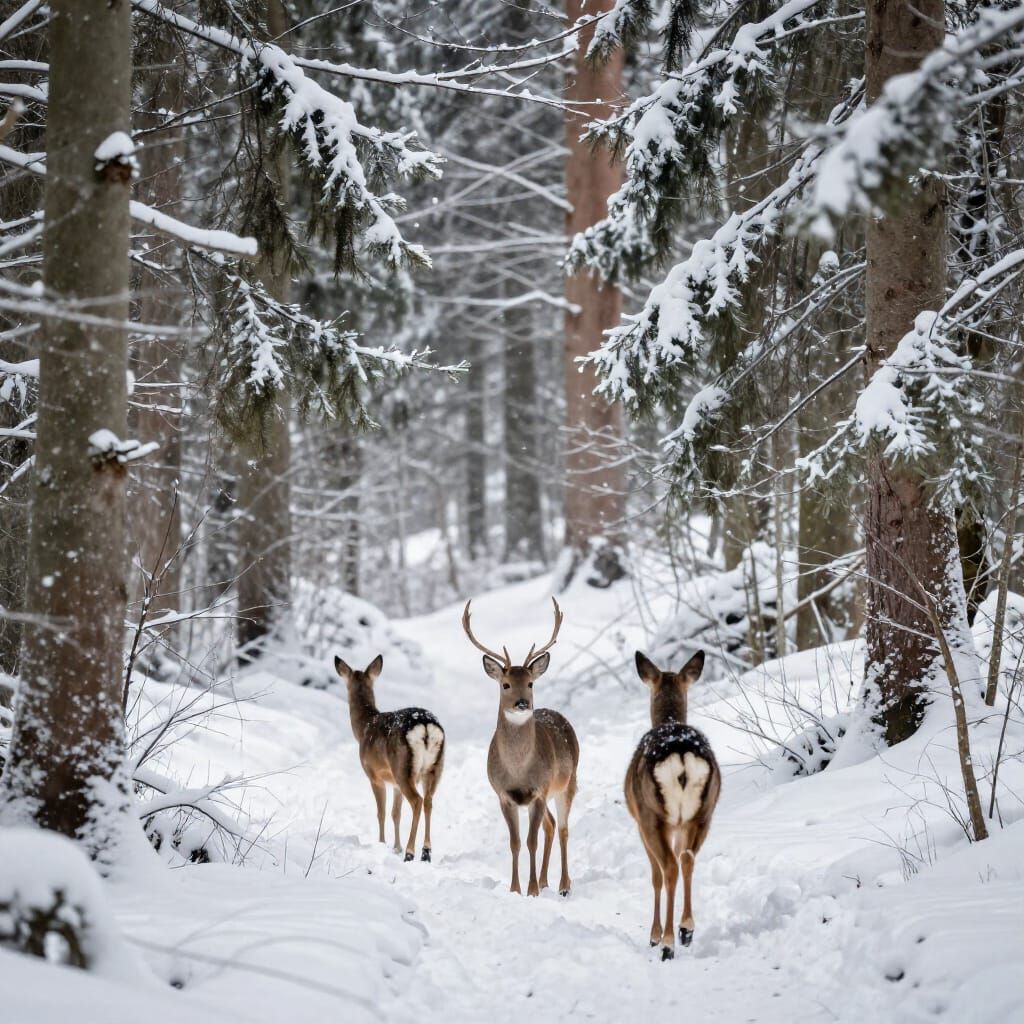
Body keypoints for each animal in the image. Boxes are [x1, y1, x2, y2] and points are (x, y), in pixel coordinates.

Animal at [334, 654, 445, 863]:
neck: (363, 728)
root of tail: (426, 726)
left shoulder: (374, 775)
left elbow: (382, 812)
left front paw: (382, 843)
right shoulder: (394, 783)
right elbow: (396, 813)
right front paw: (396, 847)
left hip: (402, 767)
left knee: (417, 801)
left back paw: (410, 852)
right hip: (433, 768)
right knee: (428, 801)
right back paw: (426, 853)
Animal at [462, 598, 579, 898]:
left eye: (530, 683)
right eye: (505, 685)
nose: (523, 703)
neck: (517, 770)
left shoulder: (538, 790)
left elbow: (530, 842)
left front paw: (533, 889)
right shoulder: (504, 795)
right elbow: (515, 842)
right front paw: (516, 889)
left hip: (567, 783)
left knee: (563, 829)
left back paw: (563, 885)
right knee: (551, 826)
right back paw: (548, 881)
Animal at [624, 650, 720, 960]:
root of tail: (681, 754)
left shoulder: (641, 823)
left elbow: (655, 876)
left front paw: (654, 936)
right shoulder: (681, 825)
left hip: (653, 815)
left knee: (668, 868)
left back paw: (667, 942)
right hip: (703, 813)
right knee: (687, 859)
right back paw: (686, 929)